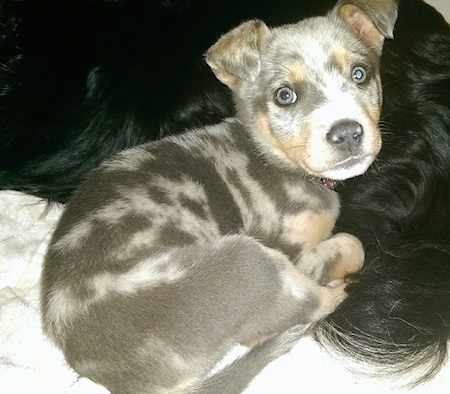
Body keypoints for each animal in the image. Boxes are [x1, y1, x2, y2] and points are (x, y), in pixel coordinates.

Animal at [0, 0, 450, 384]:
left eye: (360, 74)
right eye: (284, 95)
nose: (347, 133)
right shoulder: (293, 252)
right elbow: (351, 243)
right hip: (248, 260)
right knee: (300, 311)